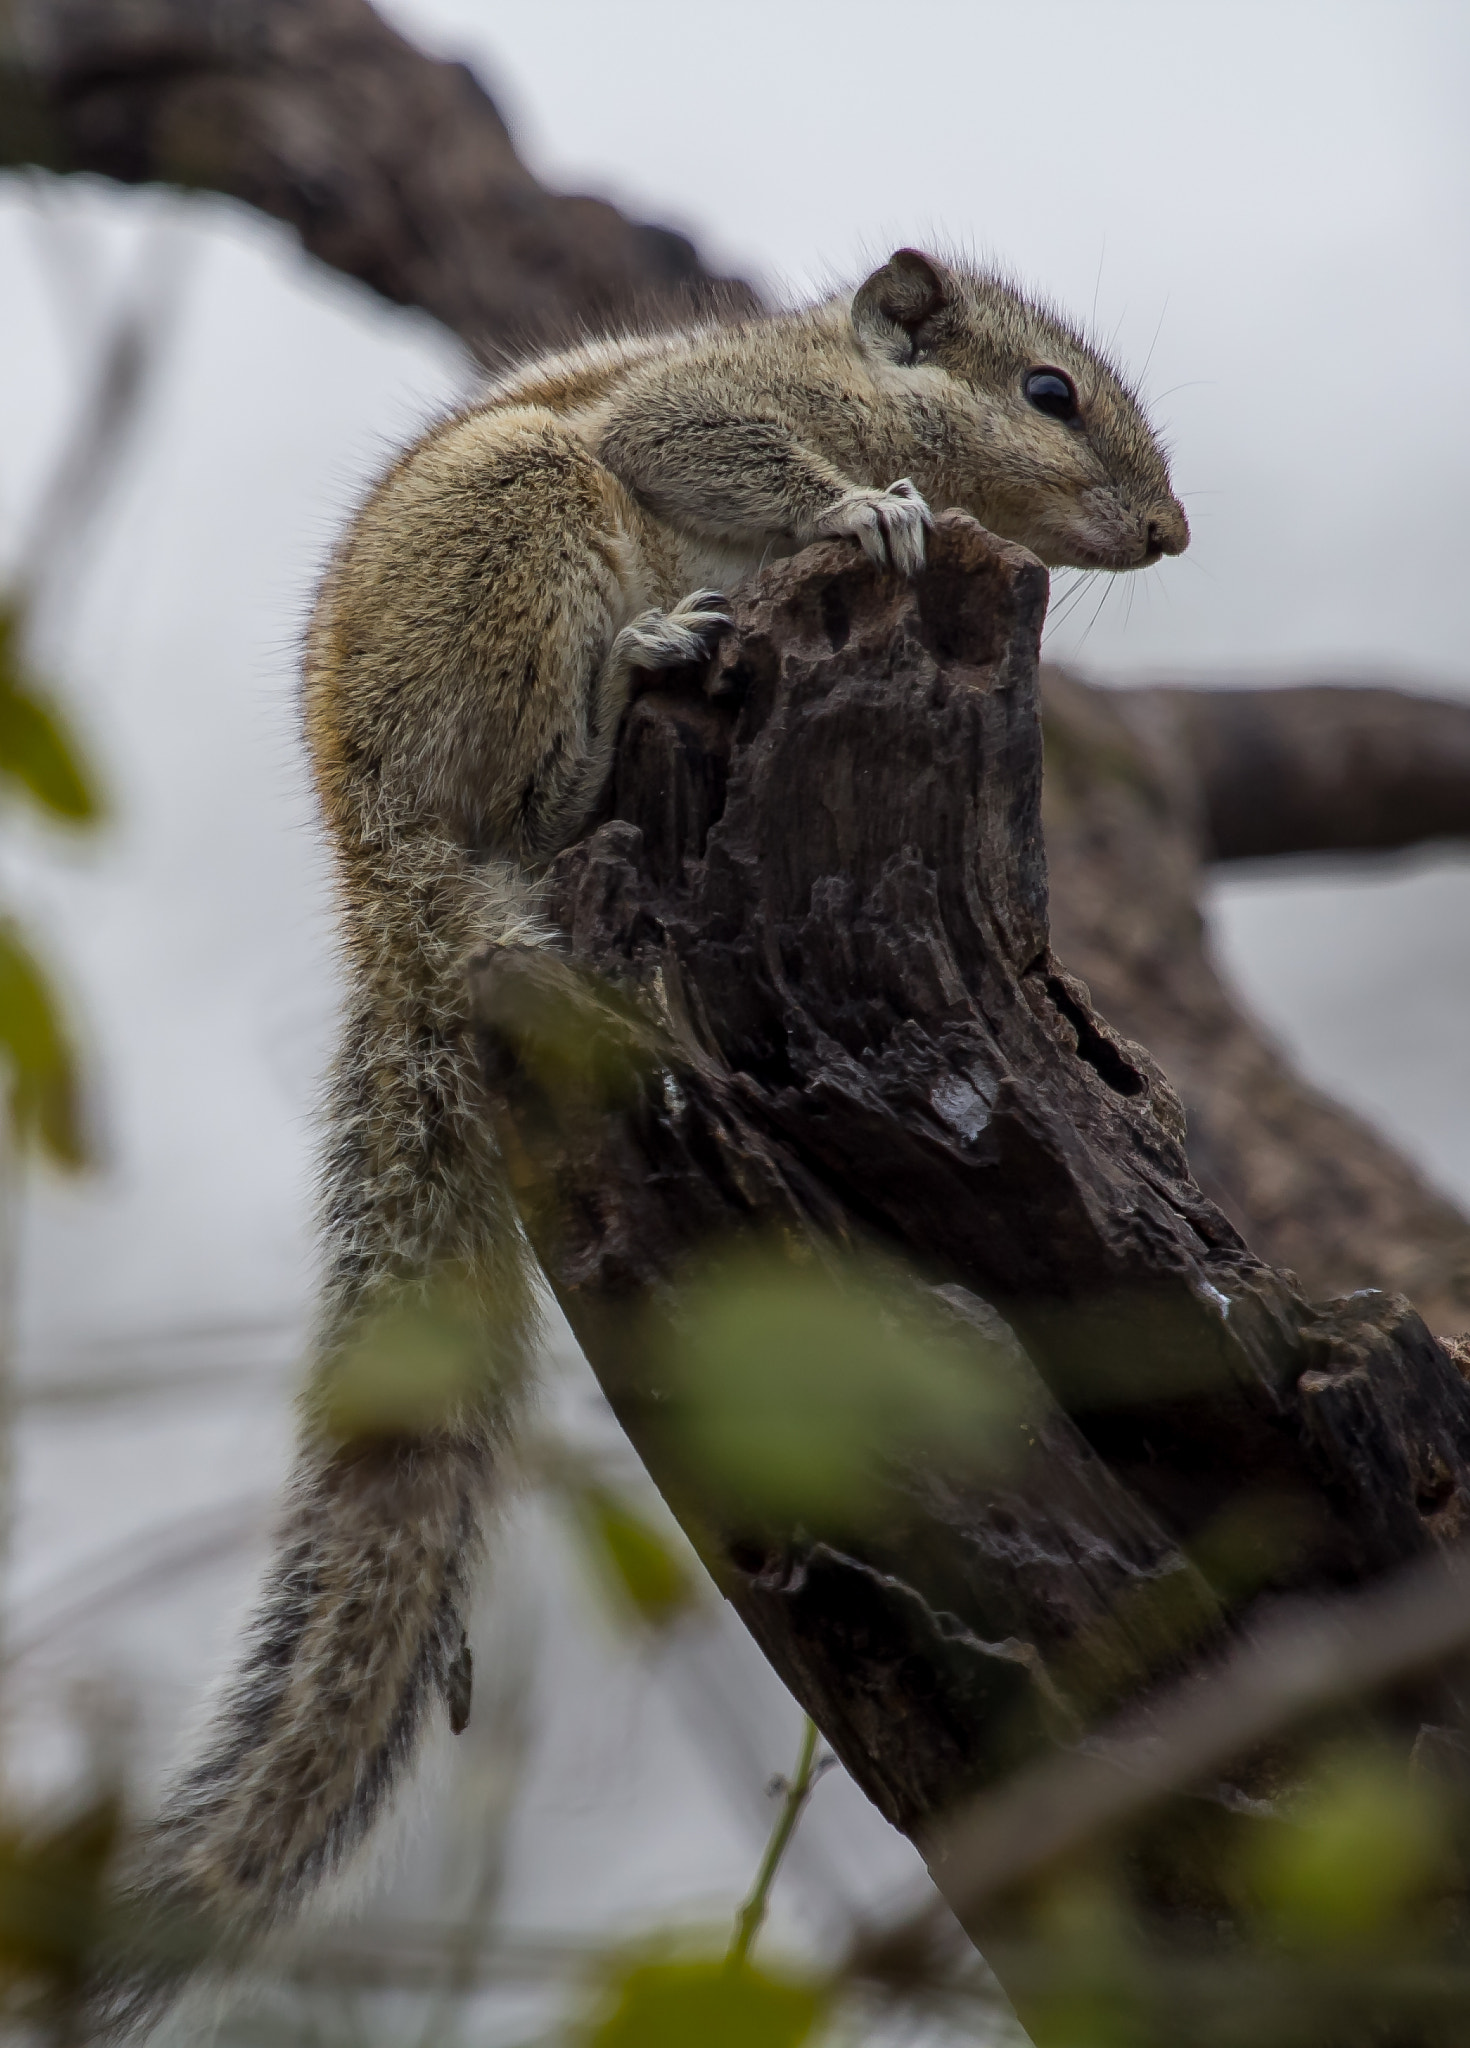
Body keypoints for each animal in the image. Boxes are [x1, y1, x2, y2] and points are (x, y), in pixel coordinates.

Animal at [96, 248, 1187, 2035]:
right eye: (1046, 394)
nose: (1168, 529)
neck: (841, 373)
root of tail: (378, 865)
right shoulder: (708, 411)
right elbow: (726, 454)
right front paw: (870, 510)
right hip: (524, 527)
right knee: (538, 781)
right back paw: (647, 650)